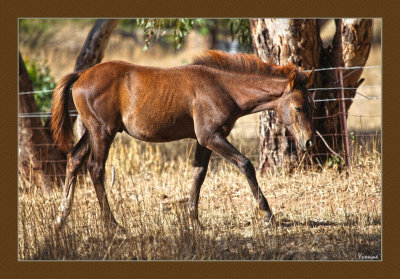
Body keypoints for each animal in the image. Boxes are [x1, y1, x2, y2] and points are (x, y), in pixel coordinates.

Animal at [50, 49, 314, 233]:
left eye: (311, 105)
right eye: (298, 107)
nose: (309, 142)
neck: (223, 88)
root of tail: (81, 75)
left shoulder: (204, 140)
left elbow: (198, 175)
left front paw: (194, 221)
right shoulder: (211, 137)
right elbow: (245, 164)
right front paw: (267, 213)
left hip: (92, 131)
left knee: (74, 159)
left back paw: (61, 220)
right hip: (103, 132)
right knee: (95, 169)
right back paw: (113, 225)